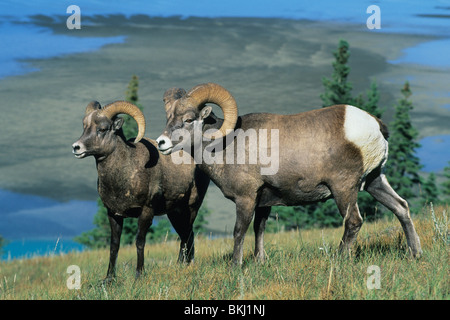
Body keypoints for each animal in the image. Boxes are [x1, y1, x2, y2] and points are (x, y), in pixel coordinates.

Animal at [71, 99, 209, 278]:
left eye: (102, 129)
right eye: (85, 126)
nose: (76, 147)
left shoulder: (146, 212)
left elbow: (139, 242)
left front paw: (139, 275)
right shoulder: (113, 214)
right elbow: (114, 246)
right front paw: (109, 279)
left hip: (191, 208)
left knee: (187, 235)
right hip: (174, 213)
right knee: (186, 234)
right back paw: (181, 265)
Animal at [157, 83, 422, 264]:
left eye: (188, 119)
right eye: (168, 118)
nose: (161, 143)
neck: (226, 146)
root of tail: (376, 126)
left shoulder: (246, 199)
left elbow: (239, 232)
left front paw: (235, 266)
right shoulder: (263, 202)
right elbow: (259, 230)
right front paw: (259, 261)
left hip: (344, 189)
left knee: (354, 222)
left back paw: (339, 260)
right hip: (375, 181)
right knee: (401, 208)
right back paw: (415, 254)